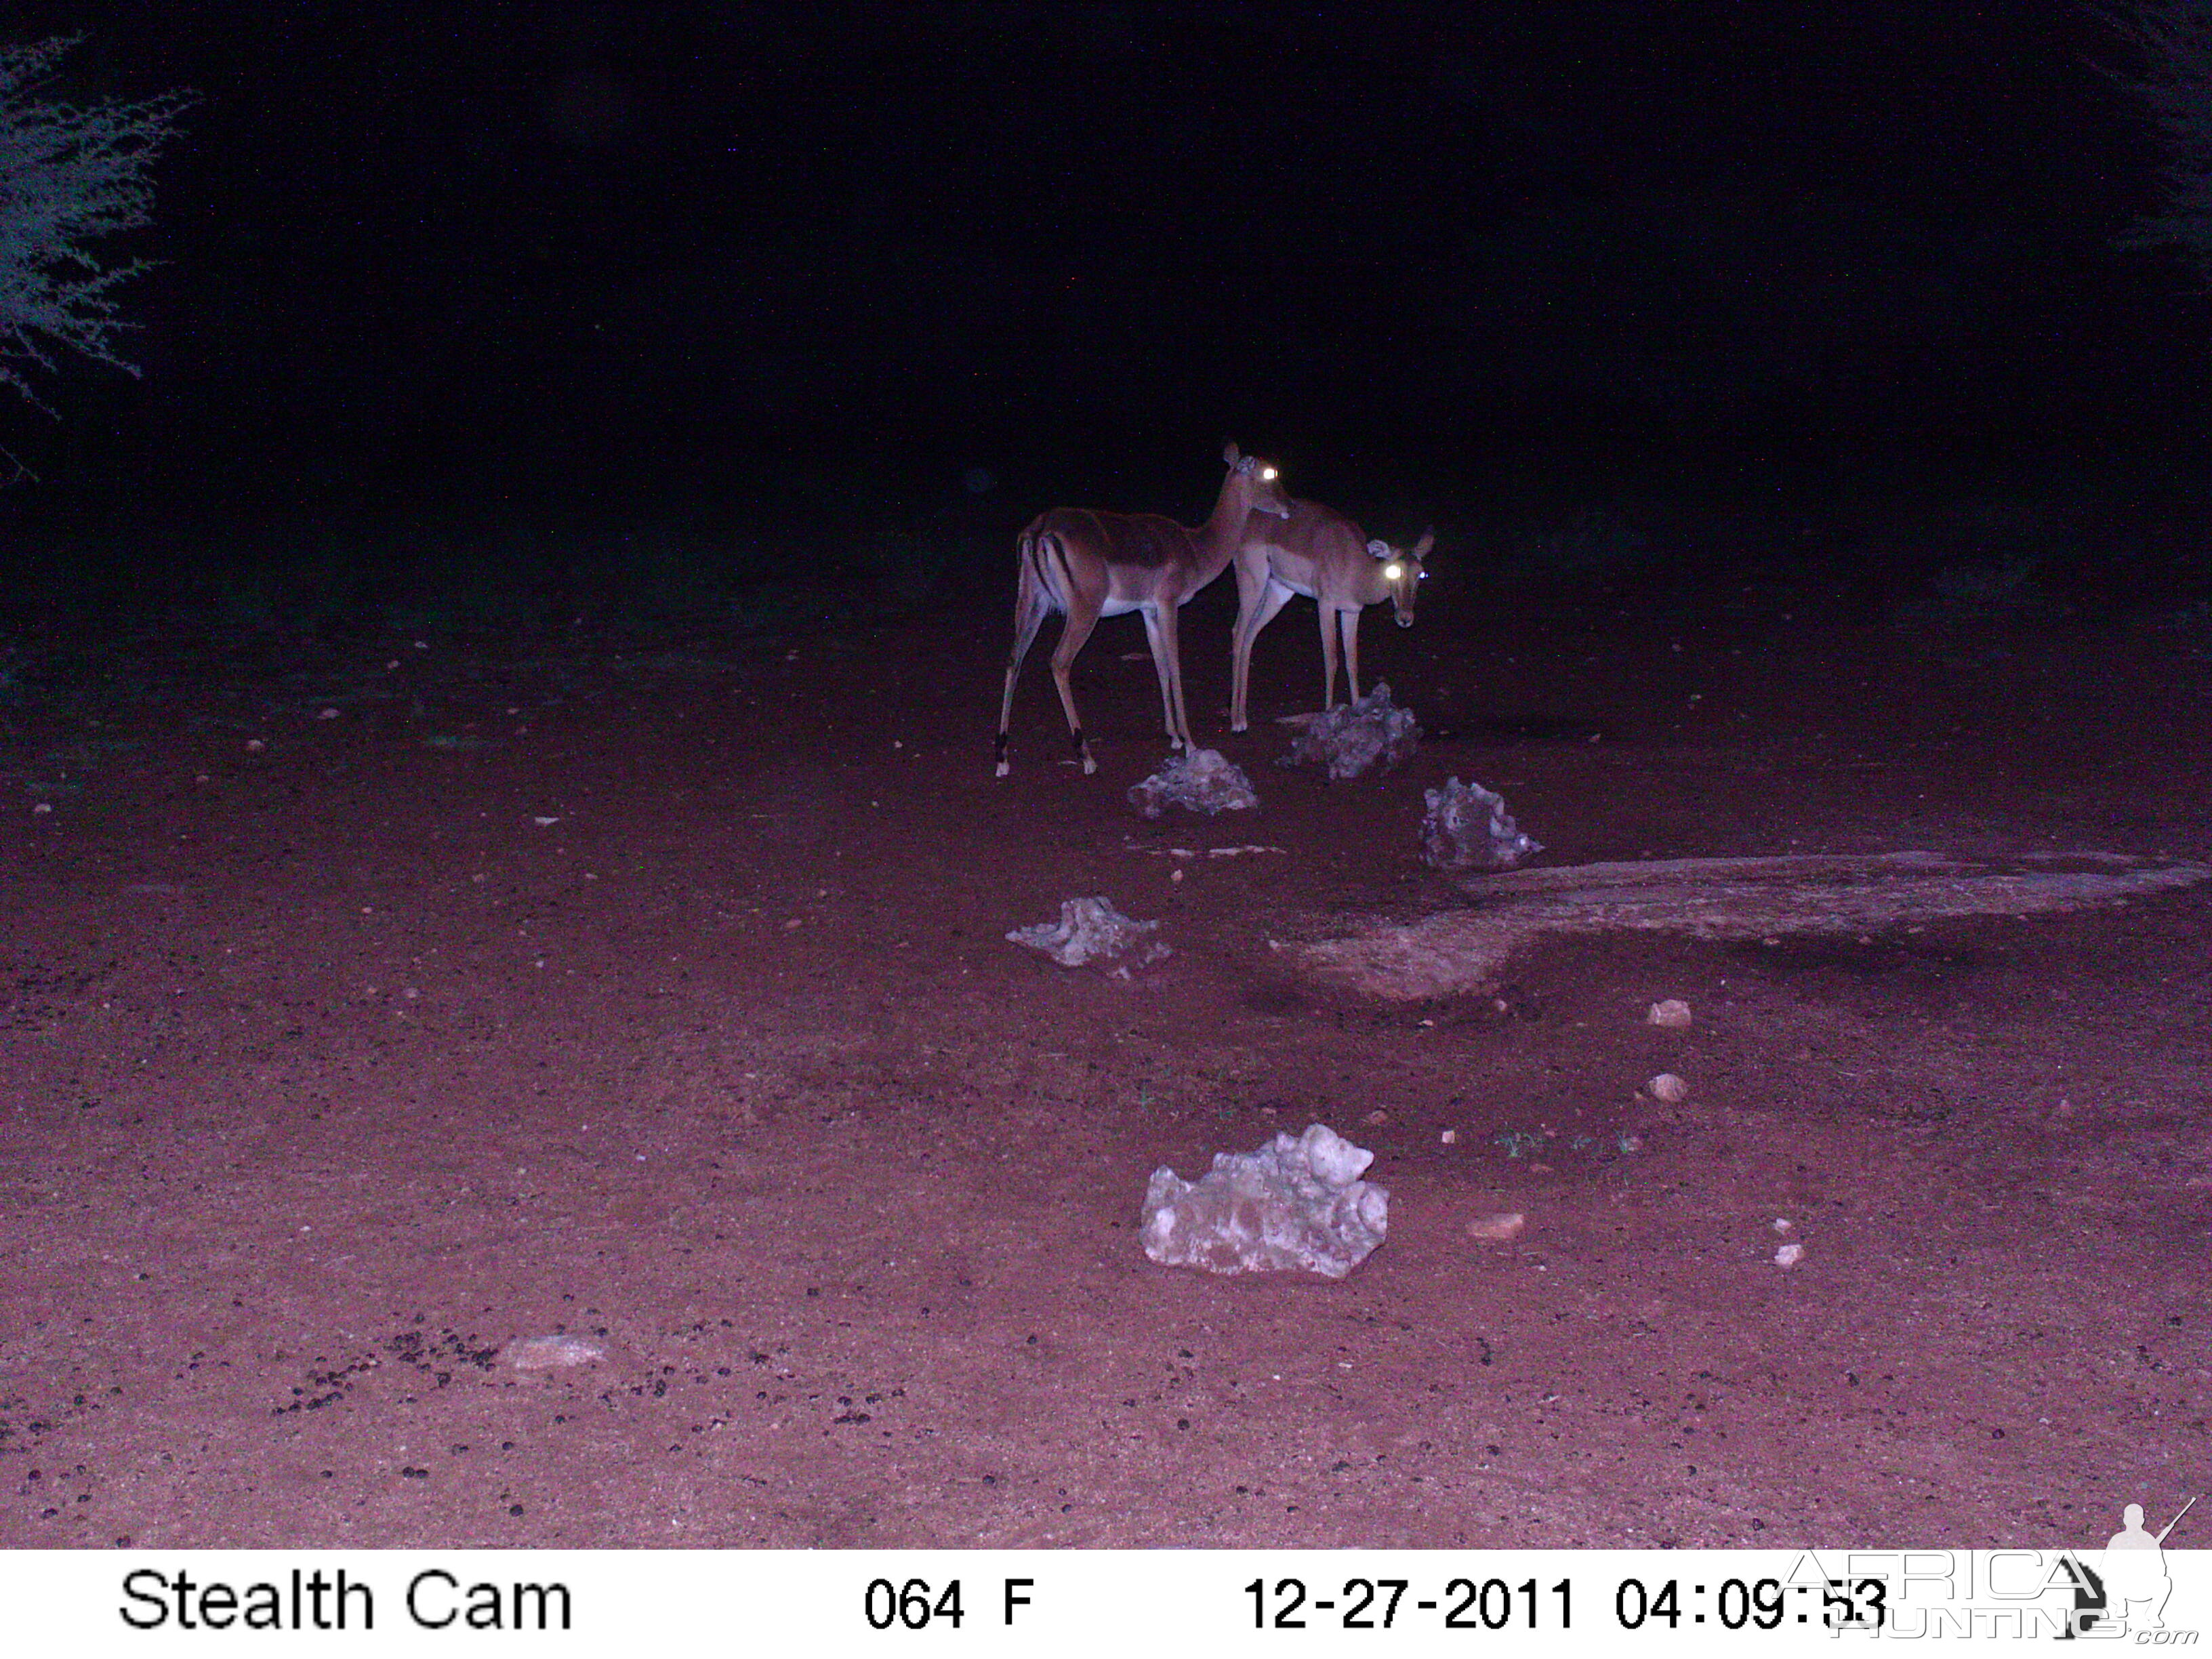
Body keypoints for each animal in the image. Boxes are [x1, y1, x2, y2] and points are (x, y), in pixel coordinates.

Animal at [995, 442, 1292, 778]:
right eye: (1268, 473)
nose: (1288, 505)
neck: (1196, 548)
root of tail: (1041, 530)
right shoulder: (1169, 604)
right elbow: (1174, 664)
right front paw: (1190, 742)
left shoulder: (1148, 611)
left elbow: (1160, 663)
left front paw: (1173, 736)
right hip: (1084, 611)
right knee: (1059, 662)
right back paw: (1086, 756)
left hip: (1032, 603)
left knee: (1014, 659)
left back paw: (1003, 757)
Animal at [1229, 499, 1433, 734]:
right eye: (1392, 570)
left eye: (1421, 574)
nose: (1405, 618)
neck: (1356, 569)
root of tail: (1249, 518)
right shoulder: (1325, 604)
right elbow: (1331, 659)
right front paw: (1328, 715)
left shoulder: (1351, 611)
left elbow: (1352, 662)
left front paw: (1357, 713)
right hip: (1252, 583)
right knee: (1238, 632)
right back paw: (1236, 722)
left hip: (1279, 592)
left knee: (1250, 635)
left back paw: (1243, 717)